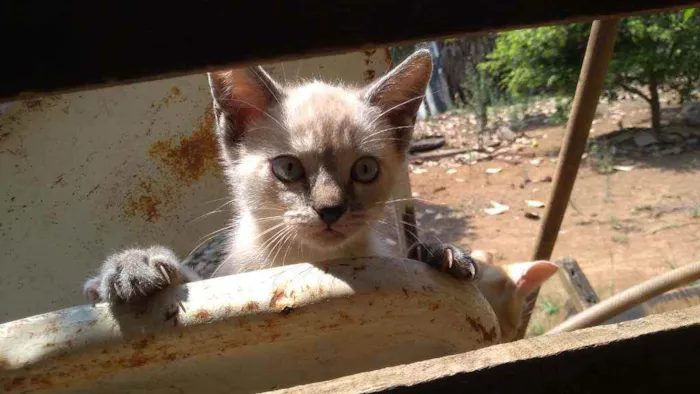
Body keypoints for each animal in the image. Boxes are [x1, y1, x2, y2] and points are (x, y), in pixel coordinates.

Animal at [85, 49, 434, 302]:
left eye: (365, 169)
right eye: (288, 168)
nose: (330, 211)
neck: (306, 262)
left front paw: (436, 254)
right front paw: (133, 266)